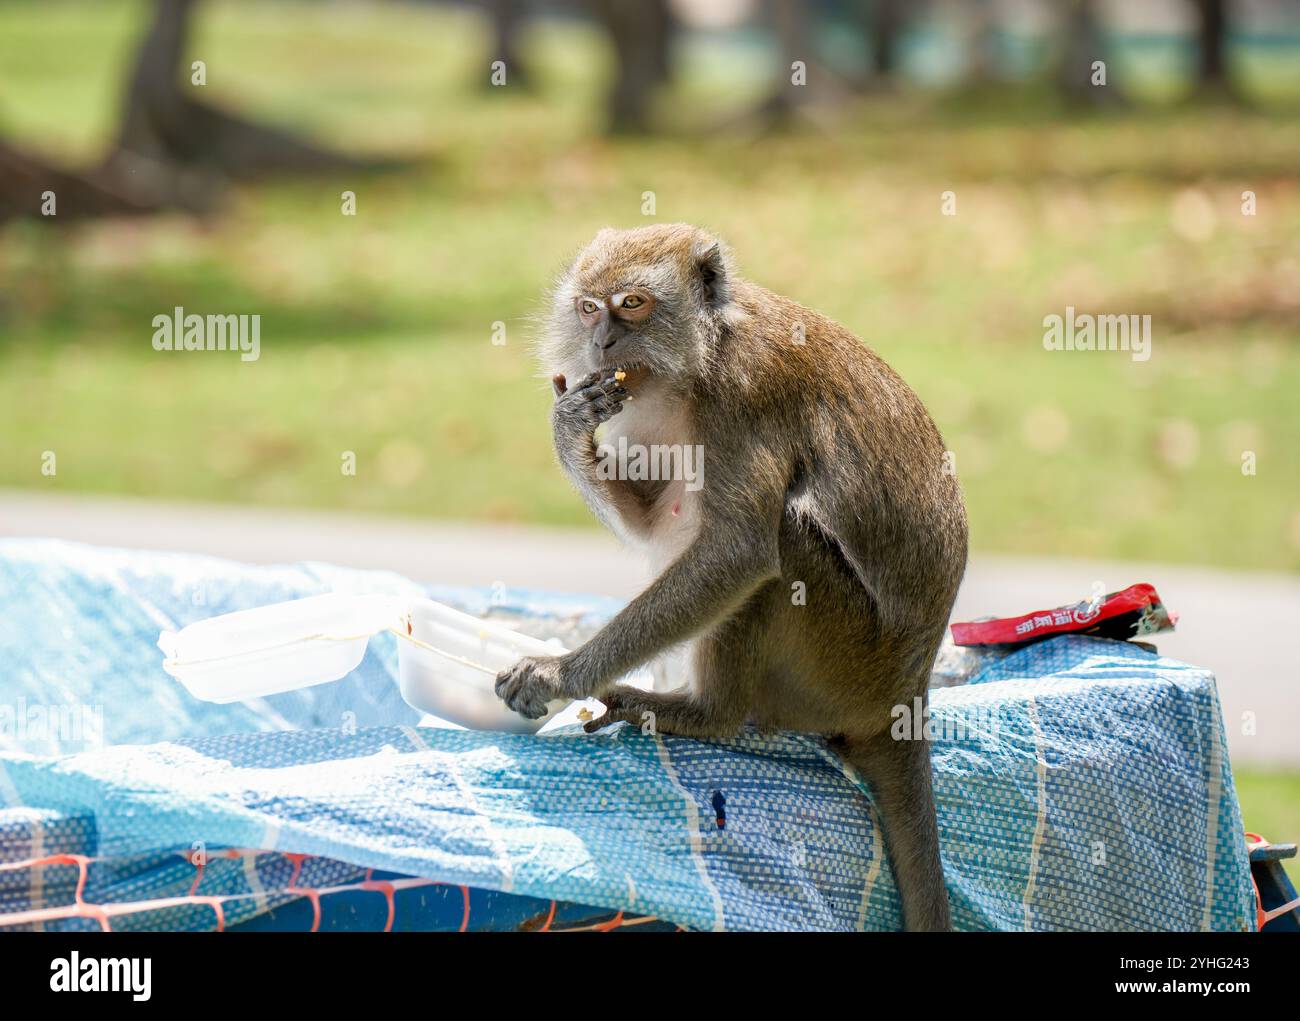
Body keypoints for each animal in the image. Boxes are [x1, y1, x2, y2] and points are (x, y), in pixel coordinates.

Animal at [494, 223, 968, 931]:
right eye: (588, 308)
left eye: (632, 303)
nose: (601, 342)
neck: (702, 356)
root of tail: (906, 697)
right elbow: (656, 521)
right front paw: (569, 422)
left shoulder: (743, 398)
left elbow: (739, 551)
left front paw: (560, 674)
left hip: (844, 666)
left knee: (784, 544)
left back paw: (706, 715)